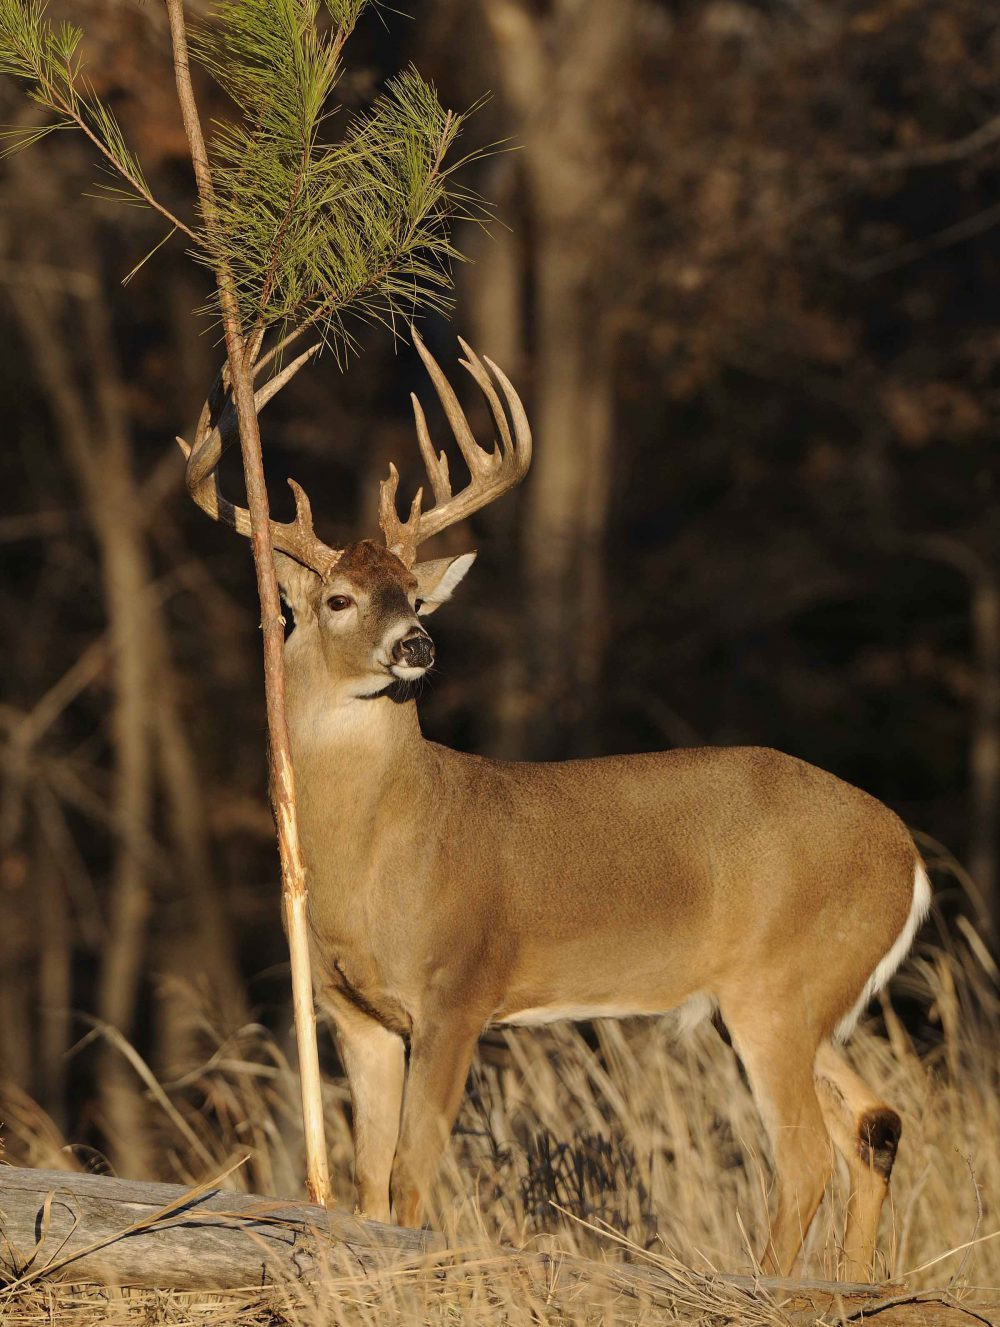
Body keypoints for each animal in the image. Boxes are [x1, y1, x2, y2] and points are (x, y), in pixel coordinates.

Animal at [178, 327, 930, 1281]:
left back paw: (767, 1286)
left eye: (415, 594)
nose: (417, 642)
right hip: (799, 998)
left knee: (805, 1154)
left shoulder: (460, 987)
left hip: (782, 983)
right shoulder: (354, 1010)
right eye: (339, 599)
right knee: (875, 1121)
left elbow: (413, 1169)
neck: (382, 848)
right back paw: (850, 1285)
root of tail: (907, 855)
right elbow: (368, 1182)